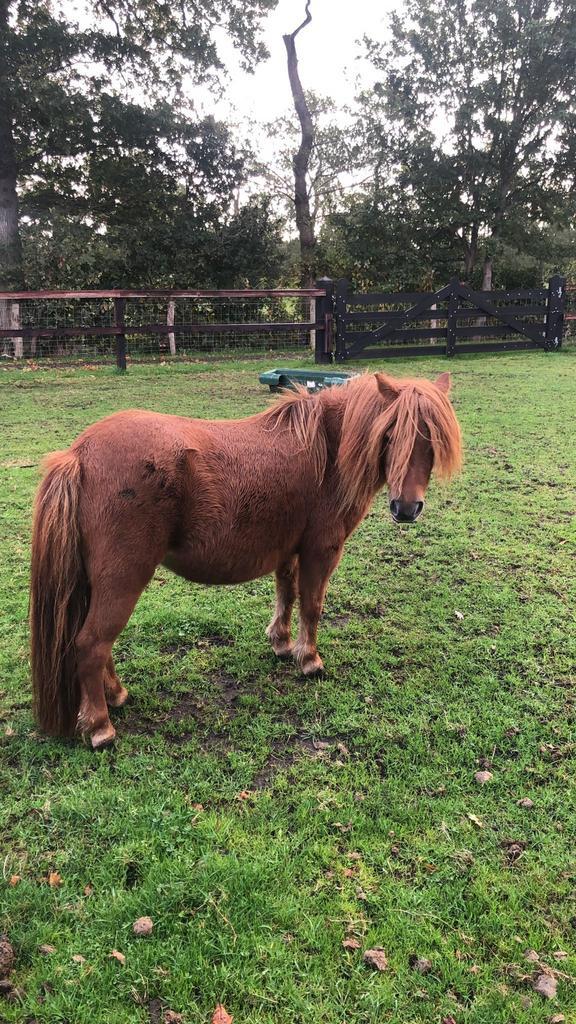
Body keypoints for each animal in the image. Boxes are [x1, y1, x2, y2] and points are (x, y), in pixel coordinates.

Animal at [30, 370, 462, 749]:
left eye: (433, 441)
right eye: (390, 435)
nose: (406, 509)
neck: (328, 449)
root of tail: (79, 454)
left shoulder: (289, 550)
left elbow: (286, 595)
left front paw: (282, 644)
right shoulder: (321, 550)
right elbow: (312, 606)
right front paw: (309, 660)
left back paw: (116, 695)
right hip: (123, 579)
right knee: (92, 644)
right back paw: (100, 727)